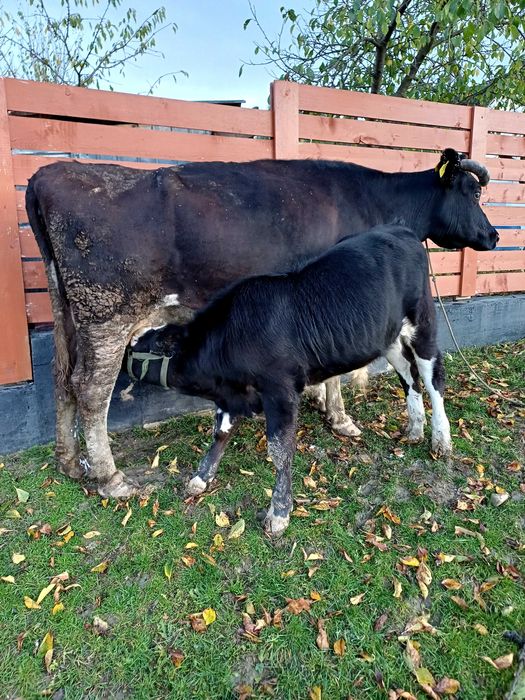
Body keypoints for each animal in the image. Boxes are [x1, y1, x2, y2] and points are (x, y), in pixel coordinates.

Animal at [25, 148, 496, 499]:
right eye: (473, 193)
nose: (494, 236)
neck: (375, 202)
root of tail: (49, 175)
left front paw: (325, 405)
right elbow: (337, 374)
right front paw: (340, 418)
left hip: (68, 315)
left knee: (61, 377)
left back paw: (69, 462)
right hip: (106, 315)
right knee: (90, 389)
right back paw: (109, 477)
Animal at [131, 223, 451, 535]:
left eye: (144, 345)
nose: (123, 363)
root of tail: (400, 230)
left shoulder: (280, 389)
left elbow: (280, 450)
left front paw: (279, 512)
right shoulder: (232, 393)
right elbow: (221, 431)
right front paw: (201, 476)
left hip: (423, 324)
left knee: (433, 378)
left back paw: (440, 438)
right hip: (389, 337)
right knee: (409, 376)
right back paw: (415, 428)